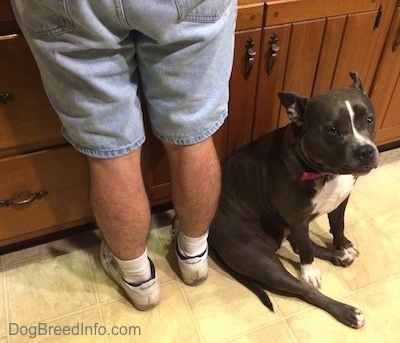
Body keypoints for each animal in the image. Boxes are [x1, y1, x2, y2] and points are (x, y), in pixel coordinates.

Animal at [209, 71, 378, 330]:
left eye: (369, 120)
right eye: (332, 129)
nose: (365, 151)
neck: (323, 173)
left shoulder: (341, 201)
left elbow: (337, 226)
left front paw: (343, 246)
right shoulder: (298, 219)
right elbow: (307, 251)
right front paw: (311, 271)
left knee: (300, 245)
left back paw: (340, 256)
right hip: (261, 260)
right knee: (304, 286)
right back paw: (347, 311)